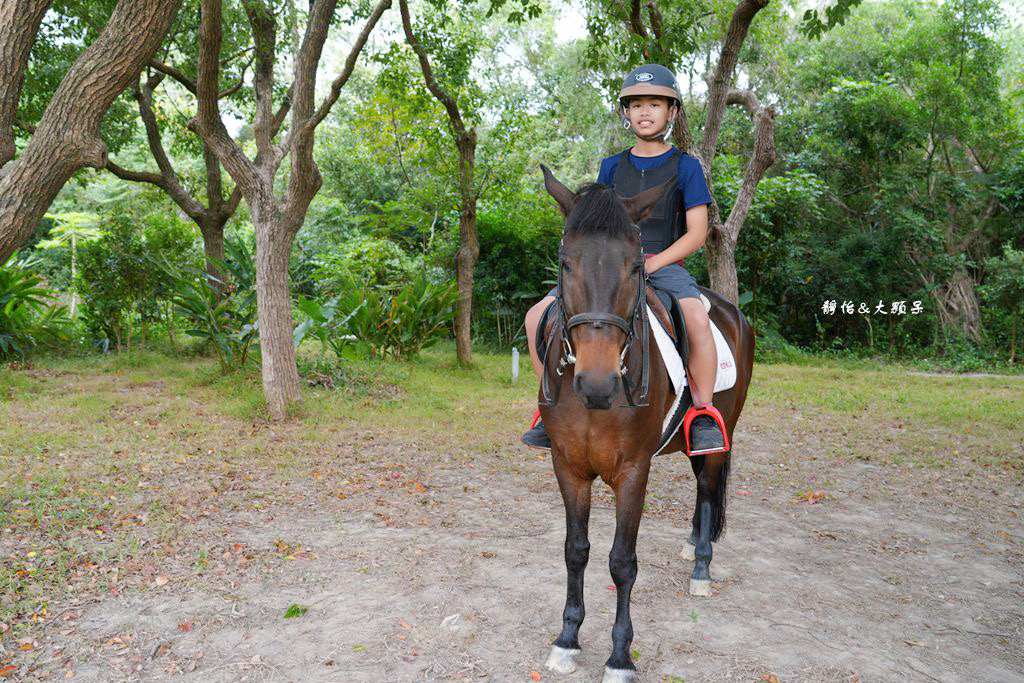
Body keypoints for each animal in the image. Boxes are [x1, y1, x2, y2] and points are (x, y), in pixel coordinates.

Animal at [536, 166, 753, 683]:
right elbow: (576, 550)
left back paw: (701, 568)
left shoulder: (633, 471)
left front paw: (619, 656)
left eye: (635, 267)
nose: (597, 383)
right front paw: (567, 640)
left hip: (719, 439)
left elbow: (621, 562)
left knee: (708, 486)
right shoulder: (568, 467)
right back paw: (692, 545)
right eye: (565, 263)